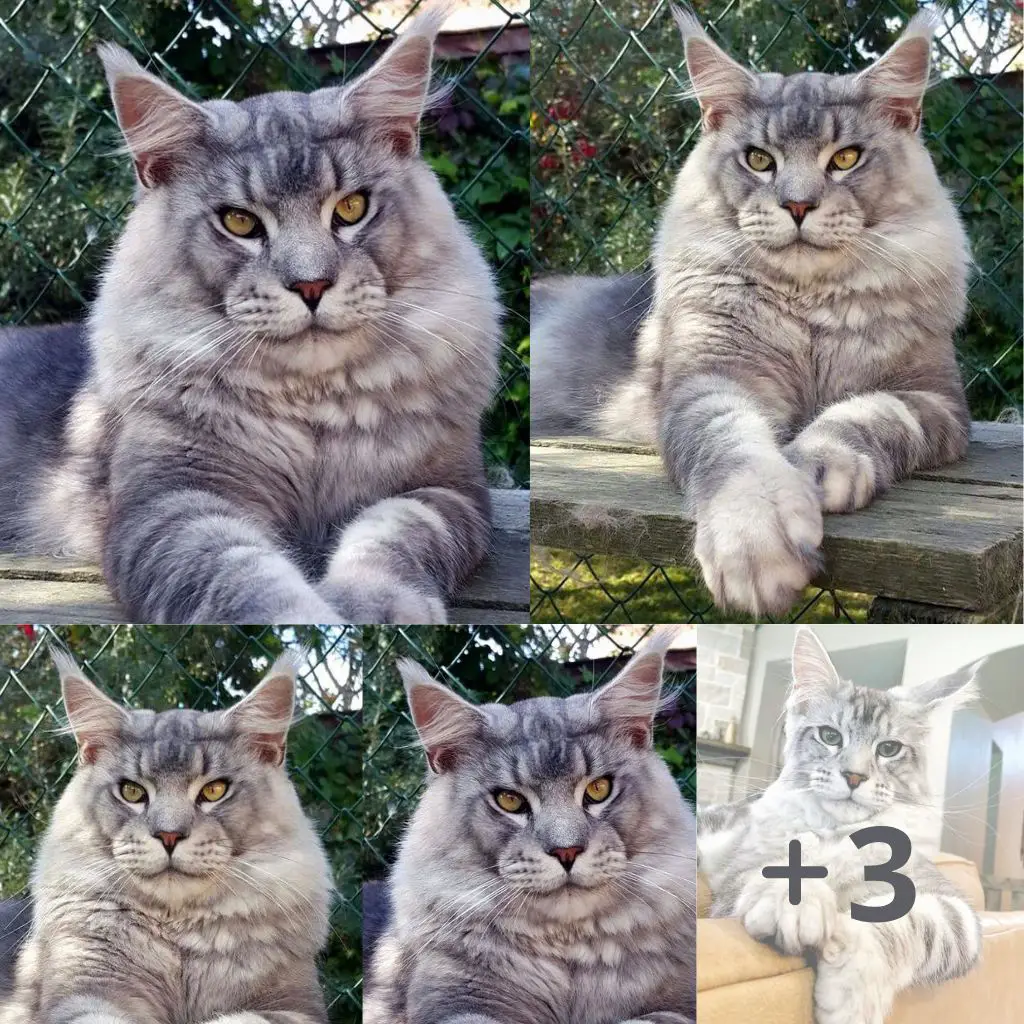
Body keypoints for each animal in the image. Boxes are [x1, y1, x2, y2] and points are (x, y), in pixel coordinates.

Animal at [0, 8, 499, 622]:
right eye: (240, 222)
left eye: (351, 208)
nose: (311, 284)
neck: (313, 409)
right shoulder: (174, 502)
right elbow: (245, 577)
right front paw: (316, 623)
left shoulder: (444, 492)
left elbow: (391, 537)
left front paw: (373, 607)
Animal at [0, 651, 331, 1019]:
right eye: (131, 792)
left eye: (215, 790)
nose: (169, 835)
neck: (179, 935)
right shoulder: (85, 990)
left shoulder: (295, 1006)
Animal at [362, 626, 696, 1019]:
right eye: (510, 800)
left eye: (598, 789)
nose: (567, 851)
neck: (569, 951)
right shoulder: (453, 1000)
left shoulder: (680, 1003)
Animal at [532, 9, 970, 614]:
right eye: (760, 161)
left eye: (846, 158)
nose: (798, 205)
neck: (809, 308)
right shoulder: (713, 379)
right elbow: (733, 444)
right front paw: (755, 539)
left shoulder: (936, 399)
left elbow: (869, 413)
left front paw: (818, 461)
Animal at [700, 622, 978, 1024]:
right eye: (830, 736)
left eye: (889, 748)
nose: (854, 776)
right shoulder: (733, 881)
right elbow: (780, 871)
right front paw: (796, 902)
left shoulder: (955, 909)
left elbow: (910, 925)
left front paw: (852, 994)